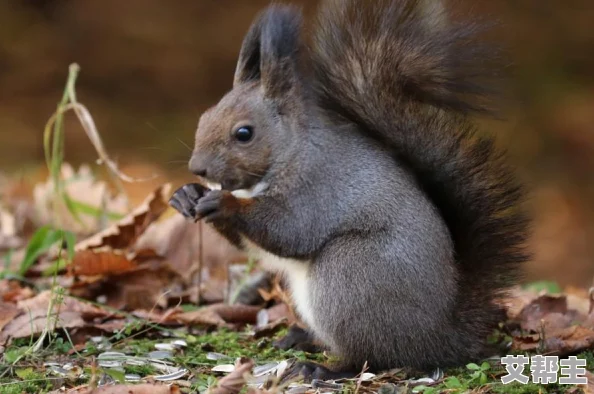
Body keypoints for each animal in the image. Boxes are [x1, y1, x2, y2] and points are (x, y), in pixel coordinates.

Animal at [169, 0, 524, 382]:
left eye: (244, 133)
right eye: (204, 118)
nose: (198, 168)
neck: (289, 153)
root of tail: (439, 337)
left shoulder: (316, 188)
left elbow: (289, 231)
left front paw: (224, 203)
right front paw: (187, 195)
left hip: (350, 276)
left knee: (370, 356)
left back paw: (324, 368)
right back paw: (300, 338)